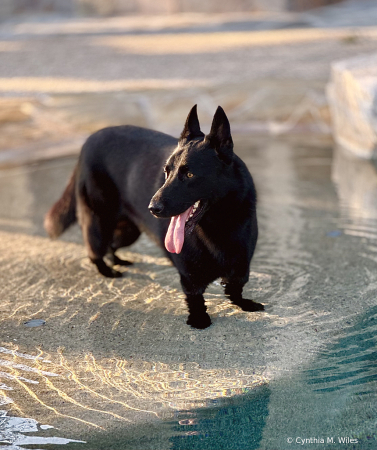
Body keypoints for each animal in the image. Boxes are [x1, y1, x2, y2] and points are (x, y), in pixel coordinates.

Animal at [44, 107, 262, 328]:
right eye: (166, 172)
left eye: (190, 175)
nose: (152, 208)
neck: (219, 223)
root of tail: (89, 140)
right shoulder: (189, 274)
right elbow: (195, 297)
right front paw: (199, 317)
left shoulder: (241, 265)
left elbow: (236, 288)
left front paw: (241, 303)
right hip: (98, 222)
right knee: (95, 252)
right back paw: (108, 271)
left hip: (128, 231)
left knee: (111, 246)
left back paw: (118, 260)